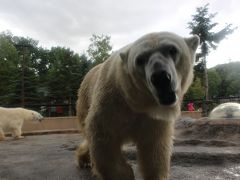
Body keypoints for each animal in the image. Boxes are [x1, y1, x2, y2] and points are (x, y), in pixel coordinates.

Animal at [75, 31, 199, 179]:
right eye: (140, 59)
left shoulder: (153, 119)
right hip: (85, 101)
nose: (160, 77)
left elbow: (154, 149)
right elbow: (102, 136)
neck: (138, 102)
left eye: (172, 50)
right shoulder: (111, 103)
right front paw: (125, 174)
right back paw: (85, 161)